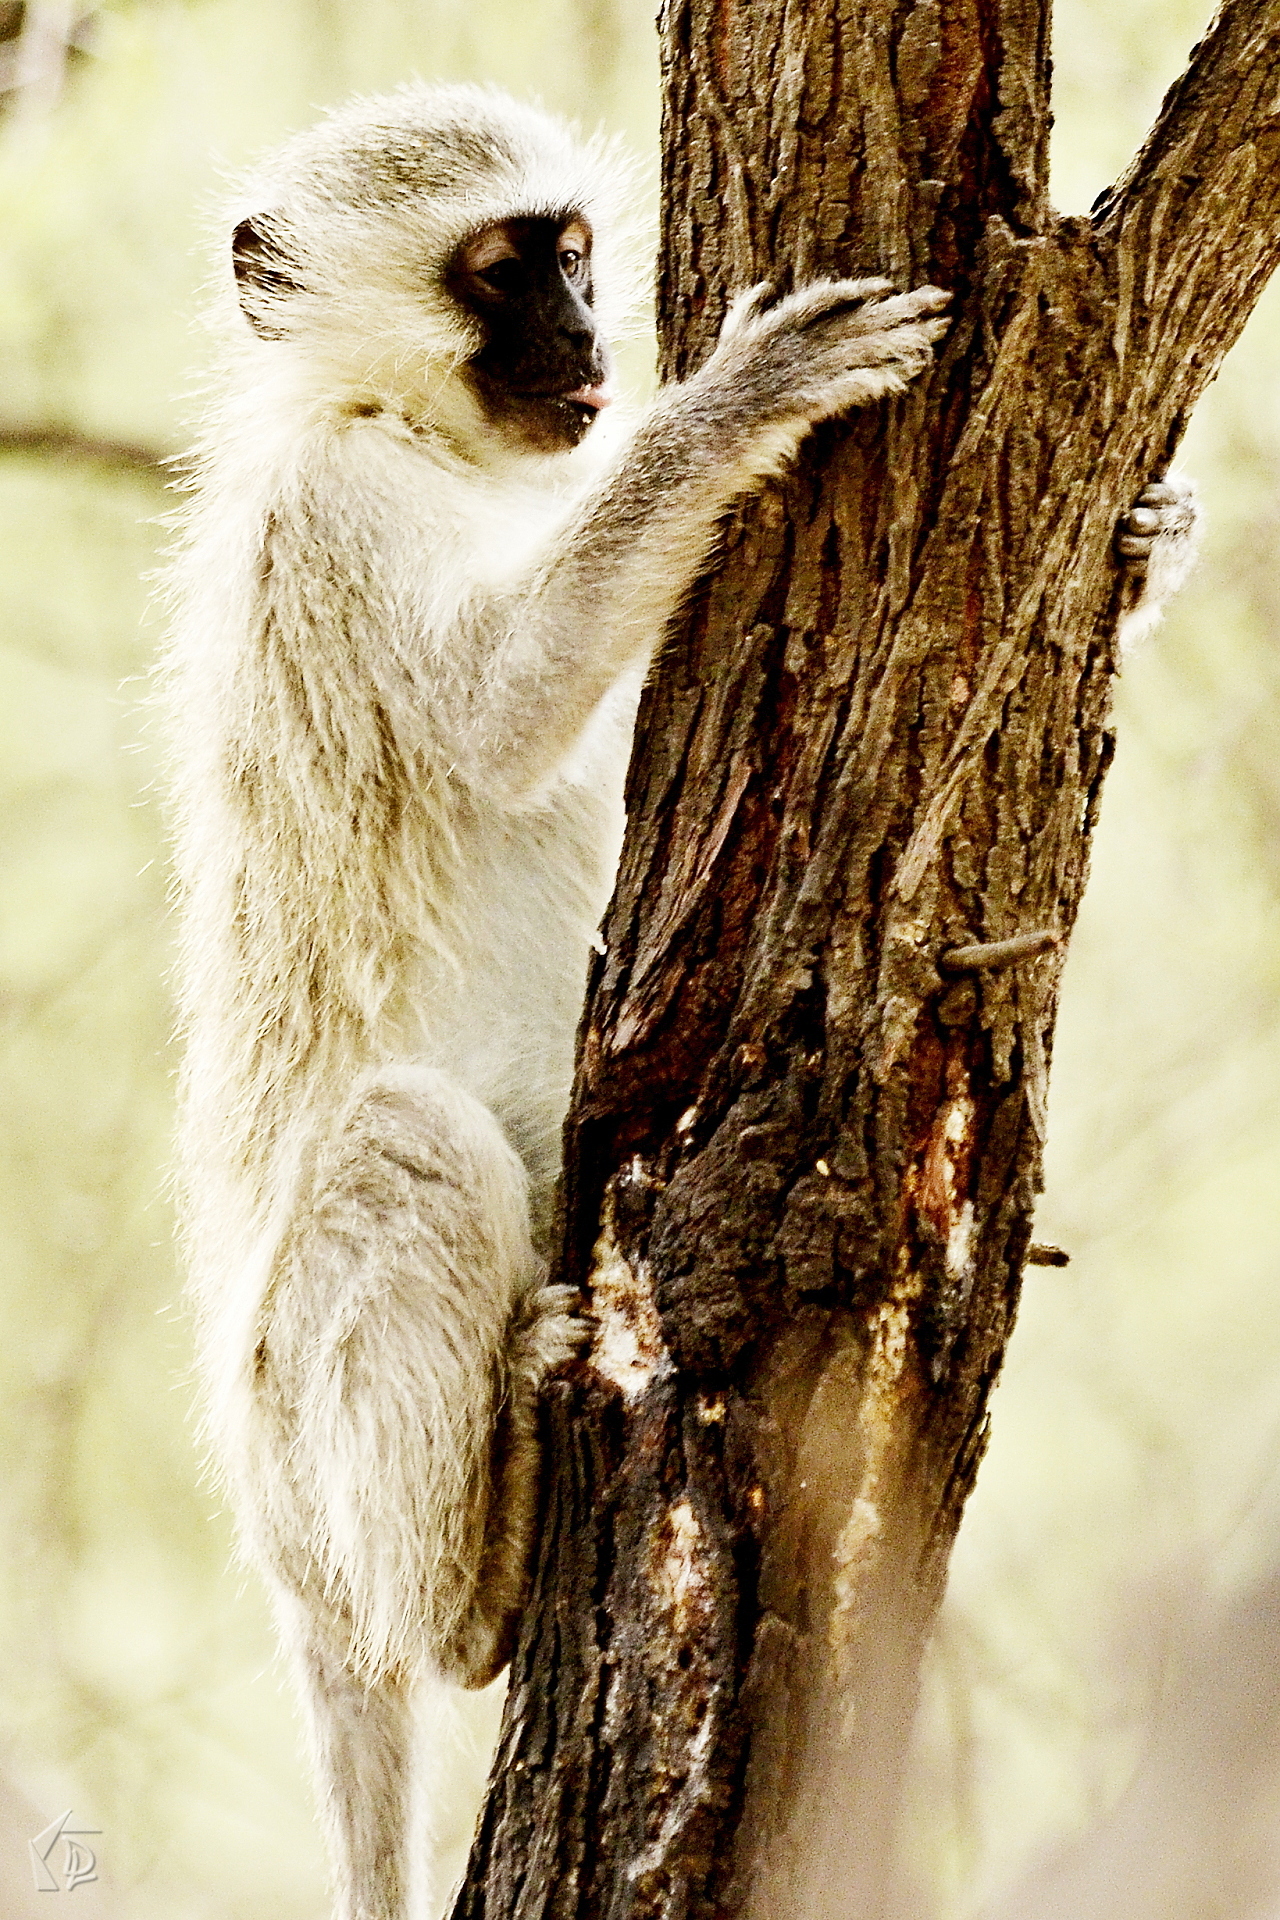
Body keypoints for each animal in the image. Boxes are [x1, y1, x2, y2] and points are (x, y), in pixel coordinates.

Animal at [163, 81, 1196, 1920]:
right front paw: (734, 405)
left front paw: (1140, 541)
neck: (402, 427)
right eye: (503, 271)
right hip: (297, 1426)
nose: (590, 341)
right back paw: (482, 1571)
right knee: (404, 1142)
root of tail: (293, 1571)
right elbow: (505, 713)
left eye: (575, 253)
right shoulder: (336, 507)